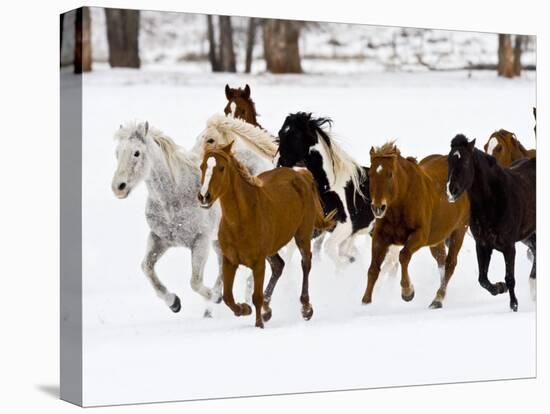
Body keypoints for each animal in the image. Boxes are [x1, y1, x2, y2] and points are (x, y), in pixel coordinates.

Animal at [112, 121, 224, 316]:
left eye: (136, 152)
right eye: (117, 152)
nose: (118, 187)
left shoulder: (201, 240)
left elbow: (195, 282)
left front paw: (215, 297)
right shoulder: (159, 239)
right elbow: (146, 267)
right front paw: (174, 302)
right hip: (218, 240)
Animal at [199, 143, 336, 330]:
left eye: (221, 168)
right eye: (202, 166)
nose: (204, 196)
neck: (242, 220)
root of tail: (302, 175)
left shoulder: (258, 262)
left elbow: (255, 296)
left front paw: (259, 323)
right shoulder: (229, 261)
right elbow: (227, 297)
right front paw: (245, 309)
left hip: (302, 235)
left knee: (306, 263)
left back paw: (306, 308)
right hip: (272, 248)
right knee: (279, 266)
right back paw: (268, 309)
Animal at [278, 111, 398, 270]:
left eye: (296, 135)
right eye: (280, 133)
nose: (280, 164)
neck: (329, 188)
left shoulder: (345, 228)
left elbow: (330, 250)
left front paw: (347, 263)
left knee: (392, 262)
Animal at [364, 142, 472, 308]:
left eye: (390, 174)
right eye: (370, 174)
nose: (377, 208)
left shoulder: (419, 236)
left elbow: (403, 256)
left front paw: (407, 291)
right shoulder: (380, 237)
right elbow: (373, 268)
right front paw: (365, 302)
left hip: (459, 230)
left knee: (450, 264)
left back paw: (438, 298)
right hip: (437, 239)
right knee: (441, 260)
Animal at [446, 135, 536, 310]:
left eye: (465, 162)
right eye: (449, 162)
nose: (451, 190)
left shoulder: (509, 247)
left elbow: (510, 278)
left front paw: (514, 305)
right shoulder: (483, 245)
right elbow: (483, 279)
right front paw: (500, 287)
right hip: (528, 236)